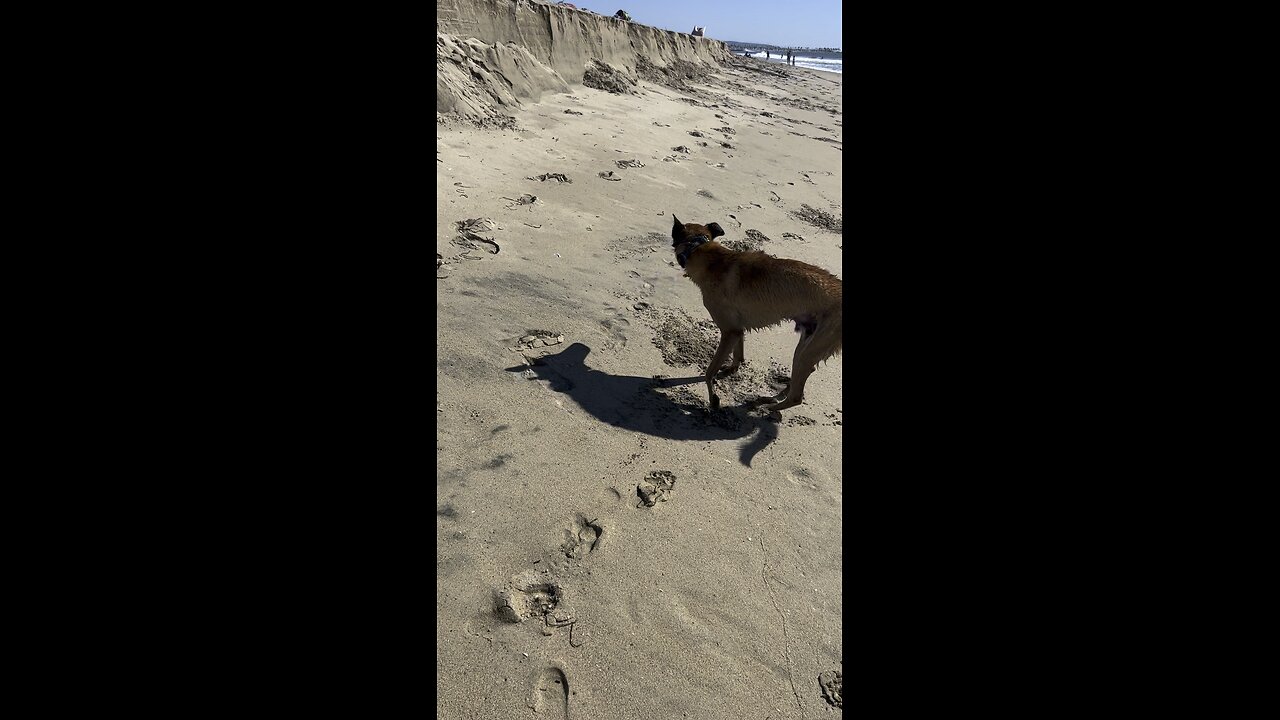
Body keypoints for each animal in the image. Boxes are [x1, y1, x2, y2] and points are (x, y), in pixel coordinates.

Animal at [670, 213, 839, 409]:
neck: (700, 247)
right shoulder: (737, 330)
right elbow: (738, 354)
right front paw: (731, 369)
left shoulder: (729, 331)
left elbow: (709, 372)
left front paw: (713, 399)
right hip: (804, 348)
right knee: (797, 383)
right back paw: (772, 398)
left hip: (808, 352)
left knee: (797, 397)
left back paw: (768, 407)